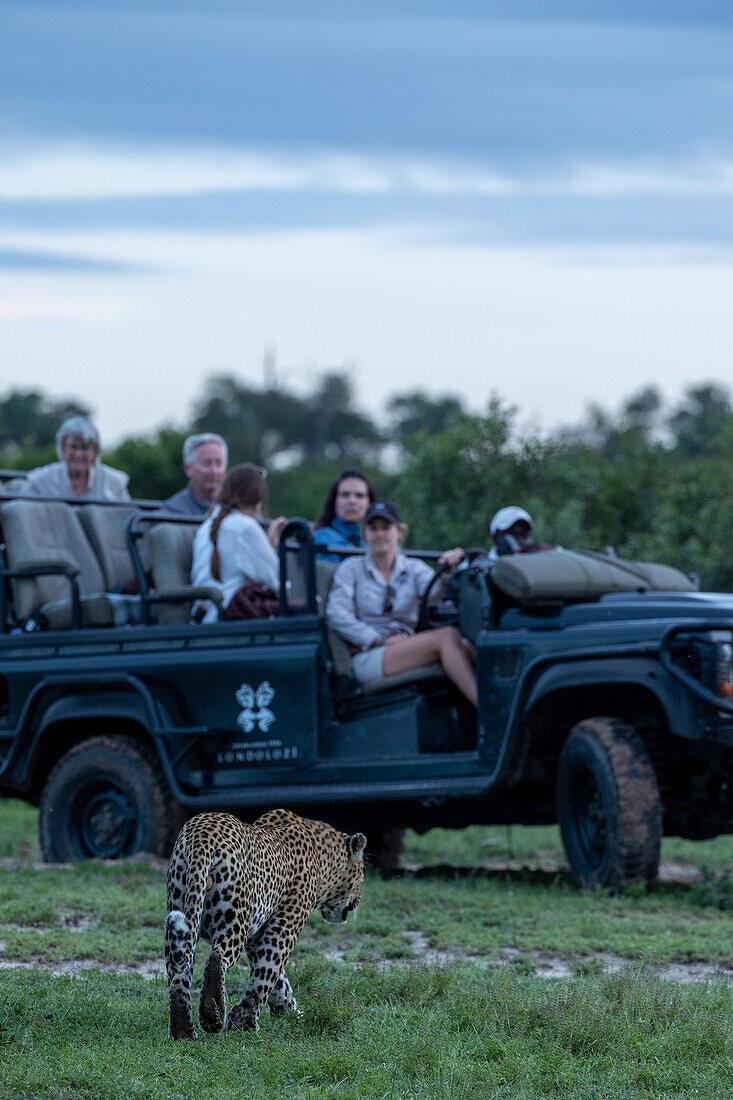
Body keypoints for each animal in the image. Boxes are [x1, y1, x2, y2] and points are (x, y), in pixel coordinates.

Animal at [161, 809, 363, 1038]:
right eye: (362, 872)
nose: (358, 899)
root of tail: (201, 835)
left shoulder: (258, 933)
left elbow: (276, 977)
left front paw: (287, 1011)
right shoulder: (284, 926)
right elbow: (267, 972)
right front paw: (245, 1020)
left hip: (180, 912)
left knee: (178, 971)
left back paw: (183, 1032)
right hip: (234, 917)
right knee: (216, 957)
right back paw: (212, 1016)